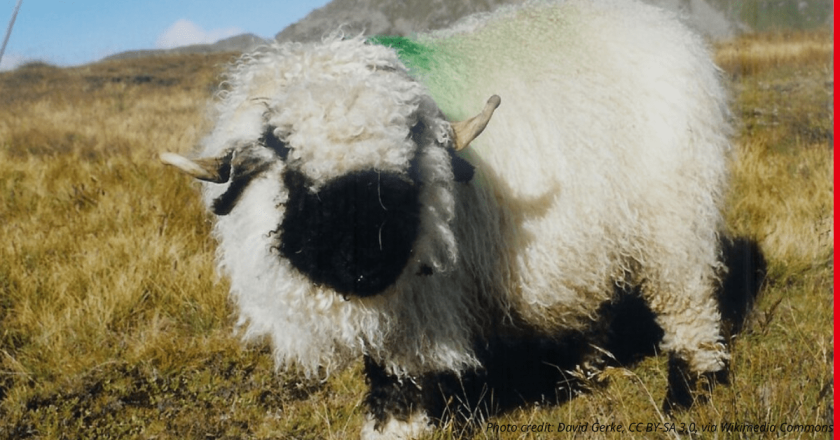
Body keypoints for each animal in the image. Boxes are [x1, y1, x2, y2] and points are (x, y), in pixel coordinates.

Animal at [161, 0, 732, 437]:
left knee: (688, 300)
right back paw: (581, 369)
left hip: (674, 211)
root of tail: (657, 21)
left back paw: (690, 387)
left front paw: (396, 427)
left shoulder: (417, 300)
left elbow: (398, 376)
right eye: (287, 158)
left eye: (407, 161)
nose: (366, 263)